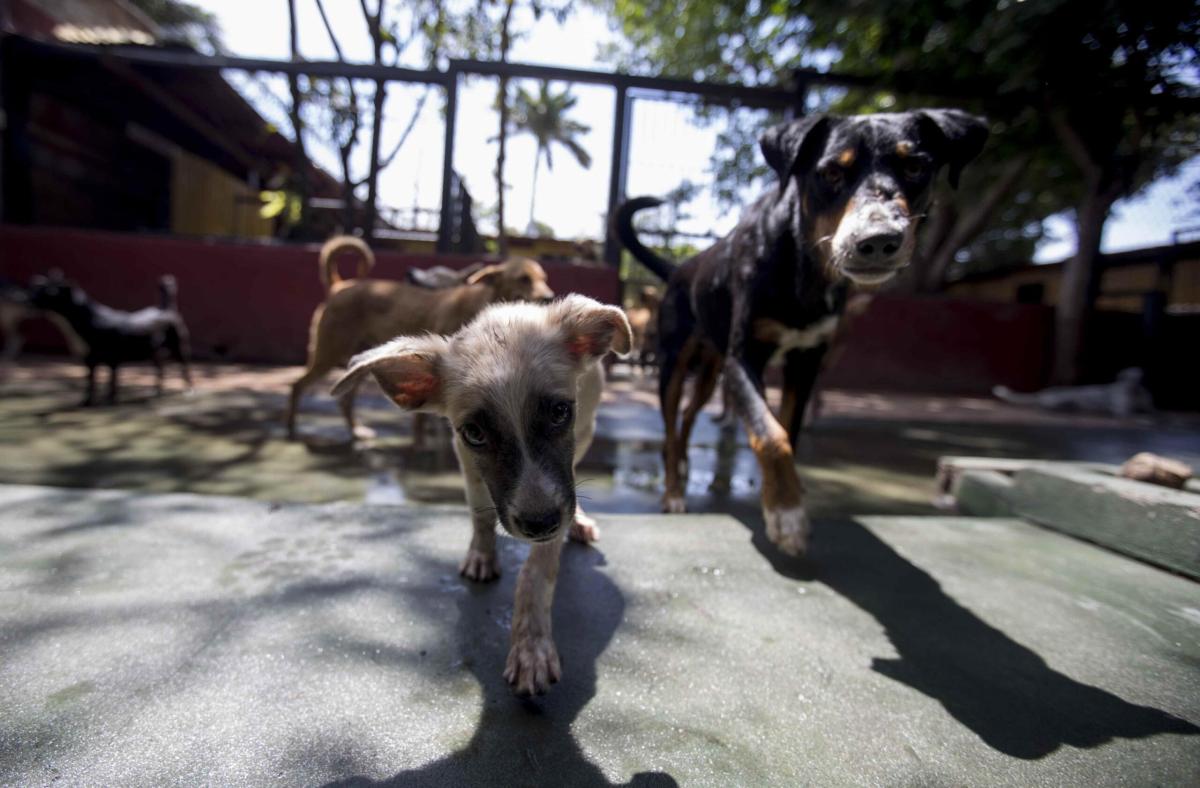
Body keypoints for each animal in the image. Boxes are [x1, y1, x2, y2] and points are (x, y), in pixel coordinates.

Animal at [288, 236, 554, 438]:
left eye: (544, 279)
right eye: (523, 279)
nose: (549, 297)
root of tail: (340, 286)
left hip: (362, 365)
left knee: (344, 401)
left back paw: (356, 432)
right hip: (328, 354)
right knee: (297, 385)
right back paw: (292, 431)